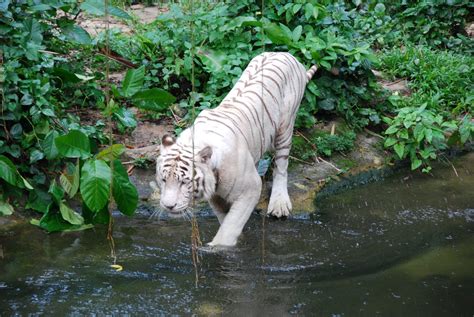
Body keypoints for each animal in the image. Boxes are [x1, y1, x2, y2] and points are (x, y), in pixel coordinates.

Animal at [156, 51, 318, 246]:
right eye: (163, 180)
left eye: (184, 182)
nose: (168, 206)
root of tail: (287, 54)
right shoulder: (216, 196)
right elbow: (224, 218)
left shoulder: (250, 189)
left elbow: (231, 224)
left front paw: (218, 246)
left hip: (285, 127)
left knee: (281, 165)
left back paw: (279, 204)